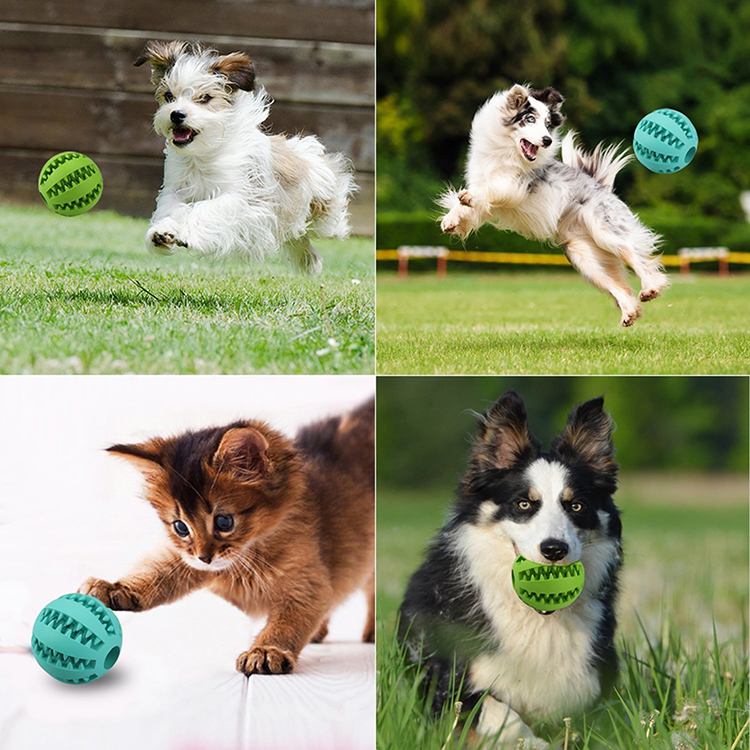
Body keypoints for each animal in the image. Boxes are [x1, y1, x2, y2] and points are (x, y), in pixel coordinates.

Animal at [80, 400, 376, 676]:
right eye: (180, 527)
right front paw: (115, 587)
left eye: (224, 521)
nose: (205, 557)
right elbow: (156, 572)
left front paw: (265, 651)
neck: (248, 557)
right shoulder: (186, 559)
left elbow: (288, 622)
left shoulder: (308, 583)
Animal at [135, 39, 358, 274]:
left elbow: (207, 208)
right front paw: (162, 232)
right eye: (169, 96)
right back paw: (308, 260)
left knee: (324, 224)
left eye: (205, 98)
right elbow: (170, 209)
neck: (203, 154)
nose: (176, 114)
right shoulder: (176, 191)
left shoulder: (239, 197)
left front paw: (186, 232)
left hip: (322, 209)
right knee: (296, 236)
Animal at [400, 390, 624, 748]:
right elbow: (501, 713)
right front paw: (537, 743)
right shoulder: (441, 687)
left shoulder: (597, 685)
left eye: (576, 506)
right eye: (524, 504)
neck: (537, 620)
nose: (554, 550)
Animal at [438, 85, 672, 326]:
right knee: (617, 286)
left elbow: (490, 189)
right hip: (583, 256)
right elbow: (467, 206)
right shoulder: (486, 195)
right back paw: (629, 312)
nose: (547, 140)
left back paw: (651, 287)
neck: (505, 151)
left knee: (635, 256)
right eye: (530, 119)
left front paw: (468, 197)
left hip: (606, 232)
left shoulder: (516, 185)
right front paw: (451, 219)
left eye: (548, 124)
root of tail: (601, 186)